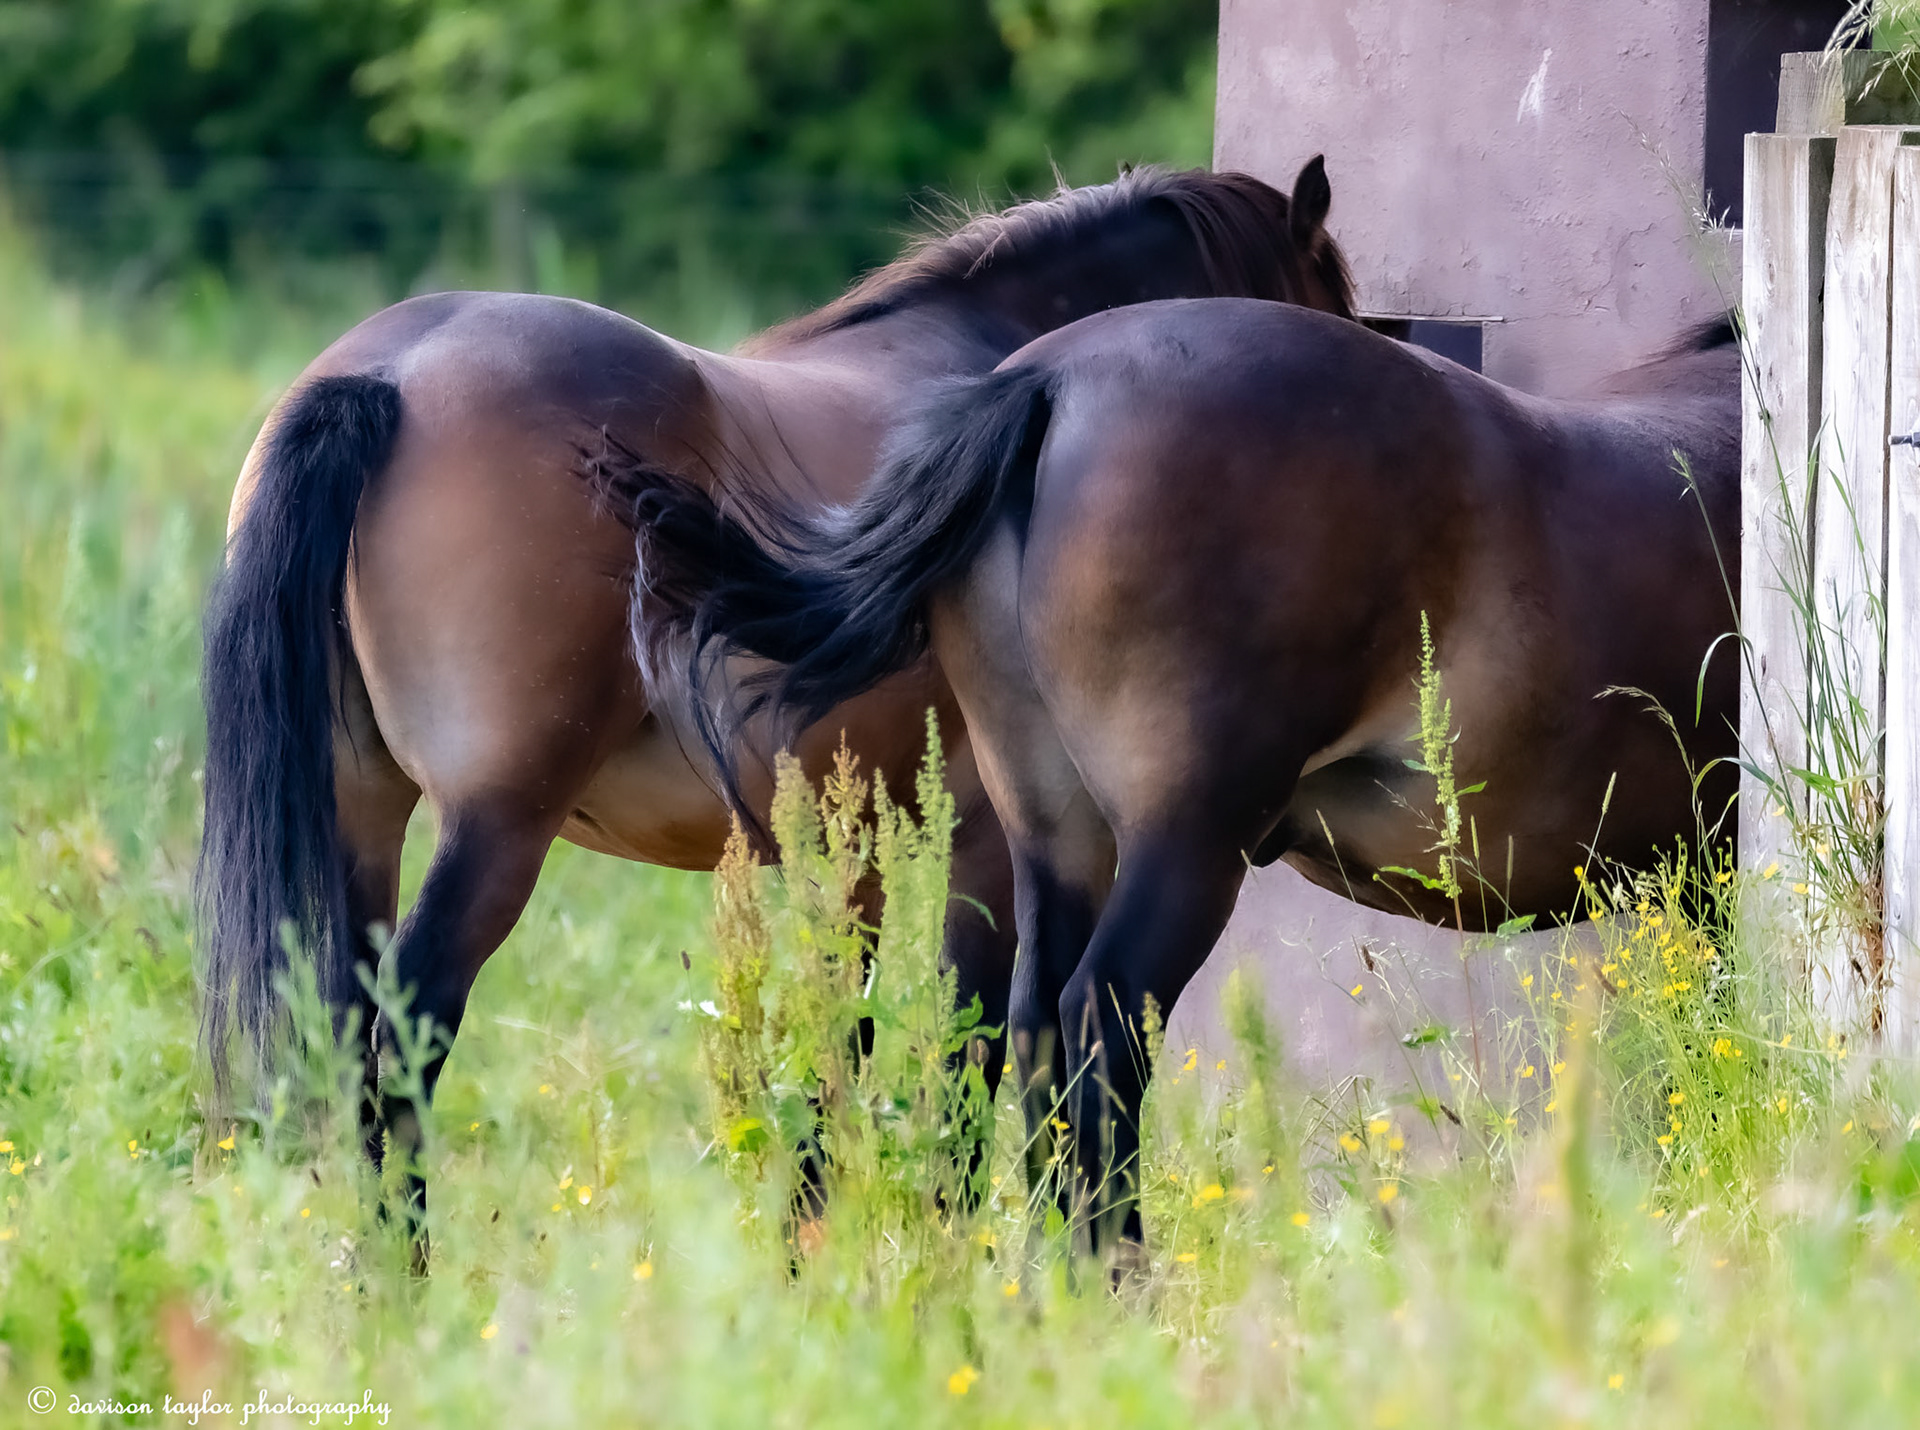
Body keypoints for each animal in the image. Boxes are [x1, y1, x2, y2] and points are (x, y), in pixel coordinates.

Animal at [196, 159, 1359, 1259]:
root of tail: (388, 374)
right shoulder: (985, 850)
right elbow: (964, 1053)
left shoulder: (850, 856)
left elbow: (833, 1060)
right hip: (493, 826)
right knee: (407, 1042)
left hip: (363, 817)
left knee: (347, 1037)